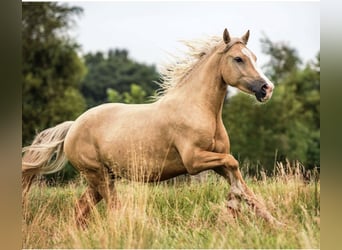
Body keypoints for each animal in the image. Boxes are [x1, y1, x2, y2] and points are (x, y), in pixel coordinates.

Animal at [22, 29, 282, 227]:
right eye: (238, 59)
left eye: (255, 57)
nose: (267, 89)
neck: (198, 108)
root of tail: (73, 126)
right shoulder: (194, 161)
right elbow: (233, 164)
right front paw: (232, 204)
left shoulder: (216, 162)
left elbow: (245, 187)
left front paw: (275, 223)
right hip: (99, 177)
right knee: (113, 209)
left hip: (101, 178)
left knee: (80, 210)